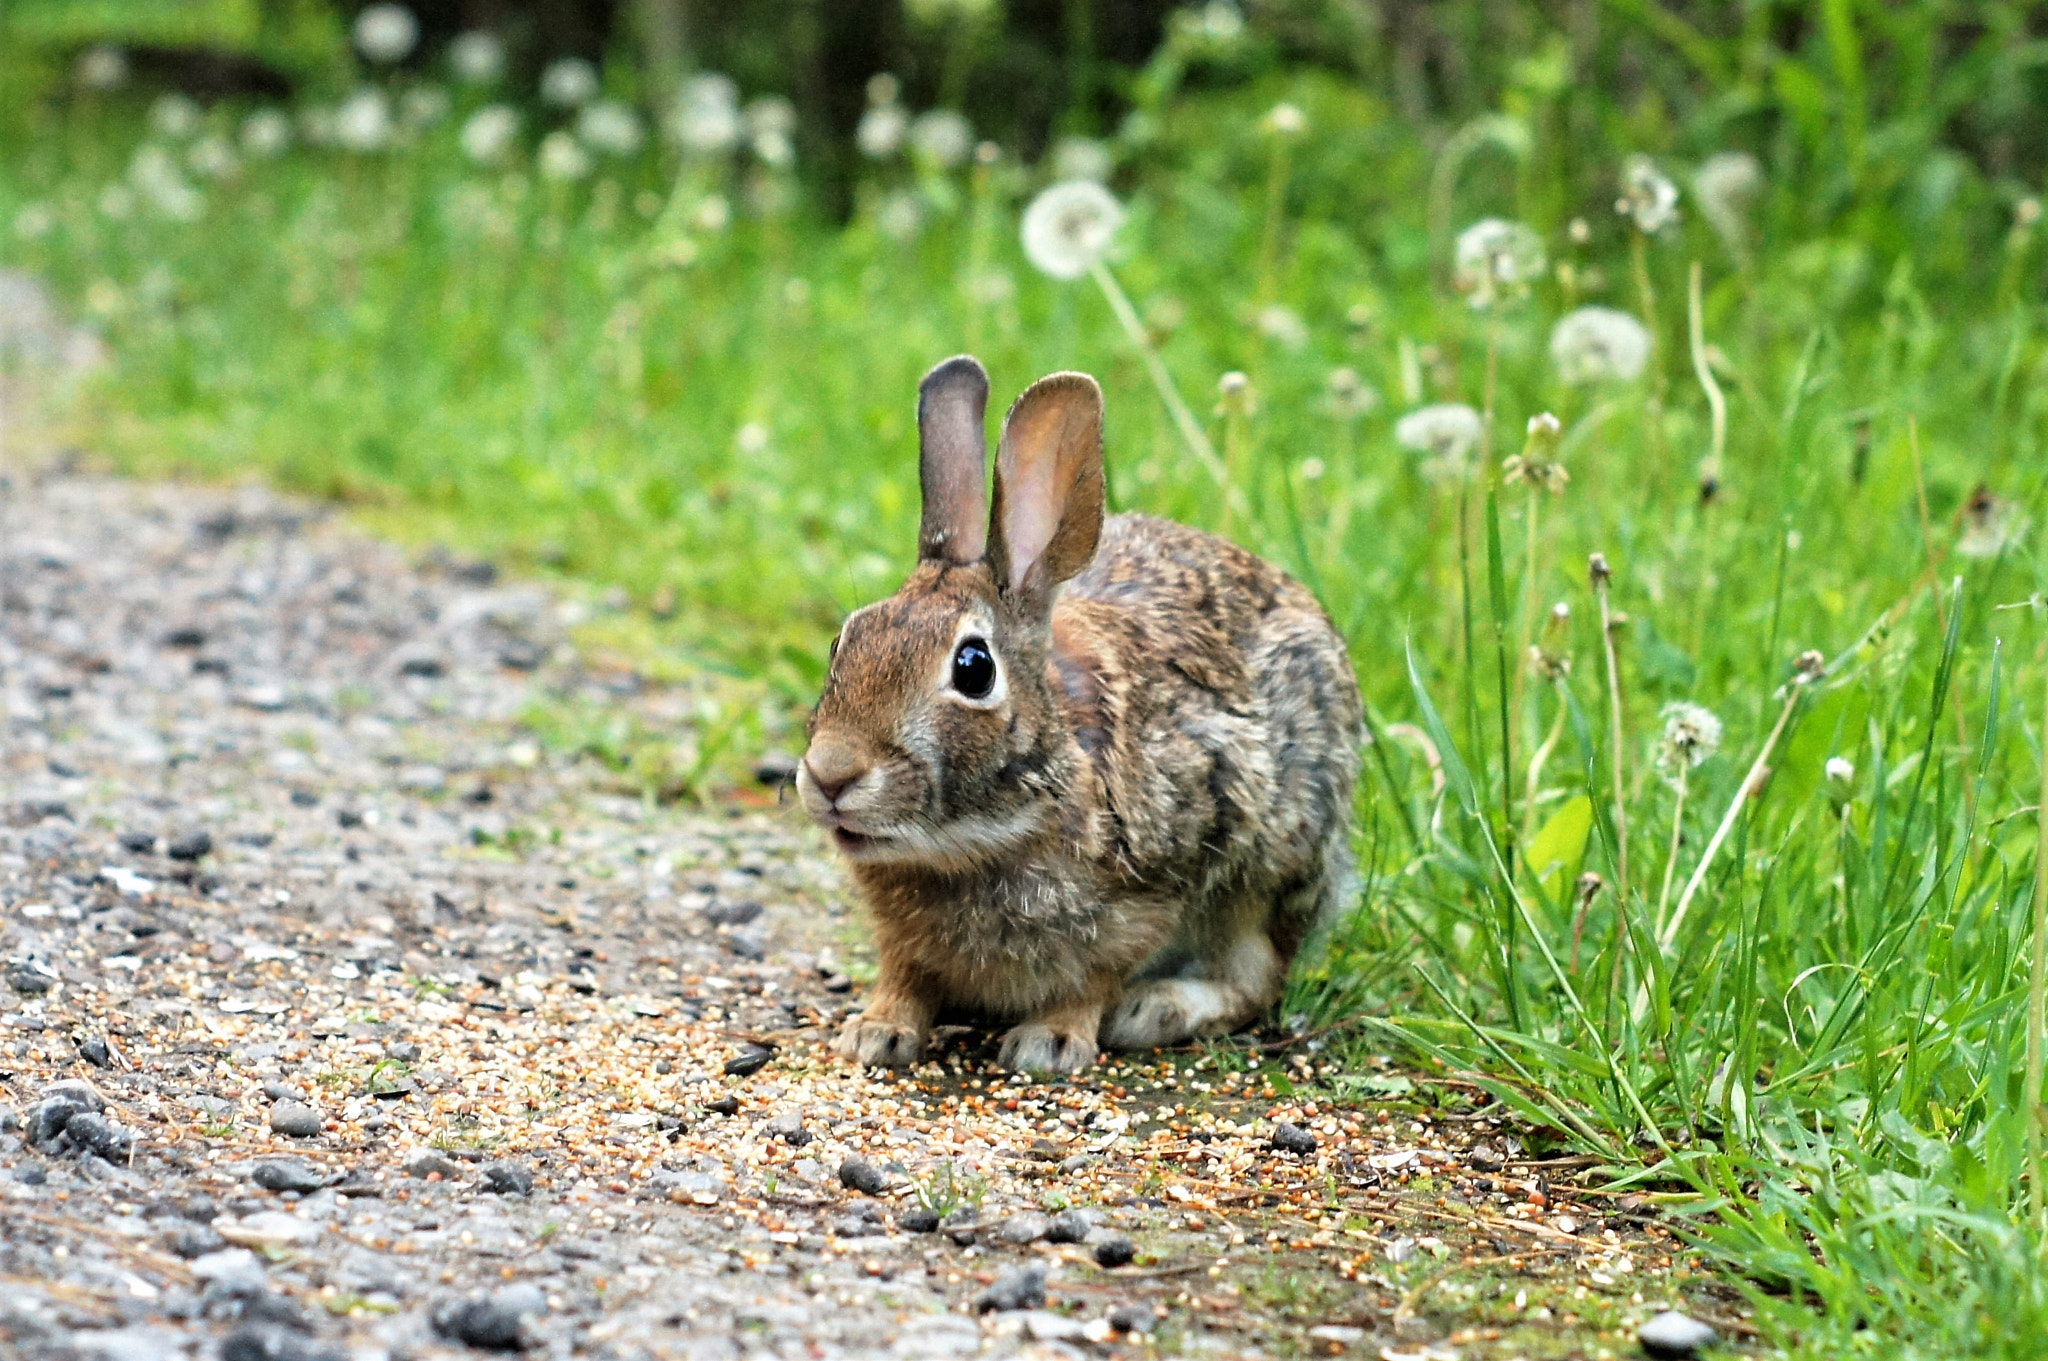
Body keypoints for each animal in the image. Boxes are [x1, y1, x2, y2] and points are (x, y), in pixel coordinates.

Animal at [798, 352, 1359, 1072]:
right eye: (843, 640)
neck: (974, 841)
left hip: (1271, 866)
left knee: (1255, 979)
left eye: (973, 668)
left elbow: (1093, 977)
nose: (830, 774)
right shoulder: (902, 941)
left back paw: (1155, 1008)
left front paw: (1051, 1041)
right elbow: (905, 974)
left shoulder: (1152, 889)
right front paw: (875, 1031)